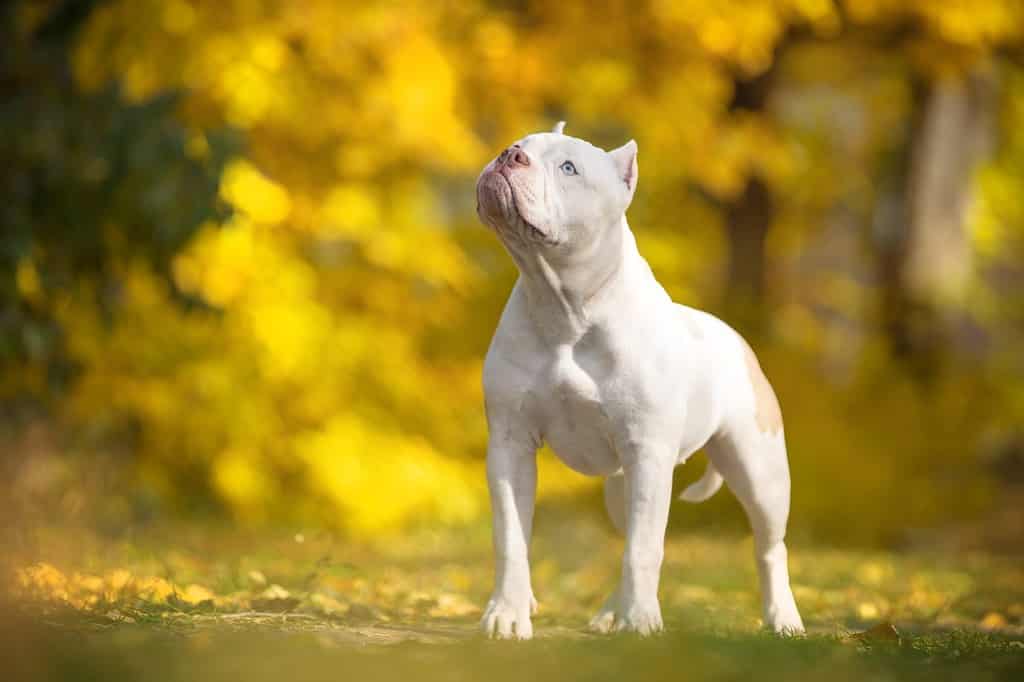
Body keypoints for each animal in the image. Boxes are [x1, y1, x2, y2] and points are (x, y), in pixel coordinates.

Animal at [475, 122, 802, 638]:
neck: (564, 306)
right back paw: (611, 613)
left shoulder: (648, 451)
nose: (509, 156)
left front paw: (641, 620)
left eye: (568, 168)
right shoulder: (511, 445)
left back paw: (783, 618)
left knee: (770, 547)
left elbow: (645, 549)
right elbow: (512, 538)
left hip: (760, 471)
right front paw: (507, 613)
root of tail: (733, 337)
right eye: (520, 145)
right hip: (621, 486)